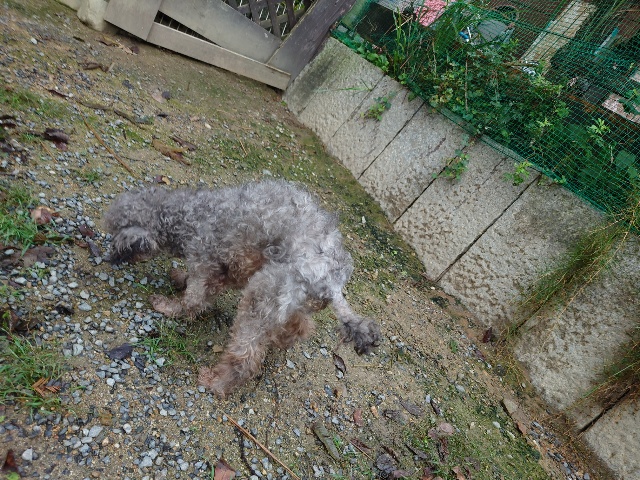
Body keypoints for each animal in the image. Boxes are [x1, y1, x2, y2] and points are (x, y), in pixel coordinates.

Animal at [103, 180, 381, 397]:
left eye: (115, 232)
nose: (110, 258)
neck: (187, 214)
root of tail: (333, 280)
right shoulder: (228, 269)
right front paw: (179, 277)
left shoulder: (205, 259)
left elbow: (193, 300)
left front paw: (168, 306)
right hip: (289, 298)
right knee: (301, 327)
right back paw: (281, 339)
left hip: (263, 293)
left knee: (246, 357)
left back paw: (215, 383)